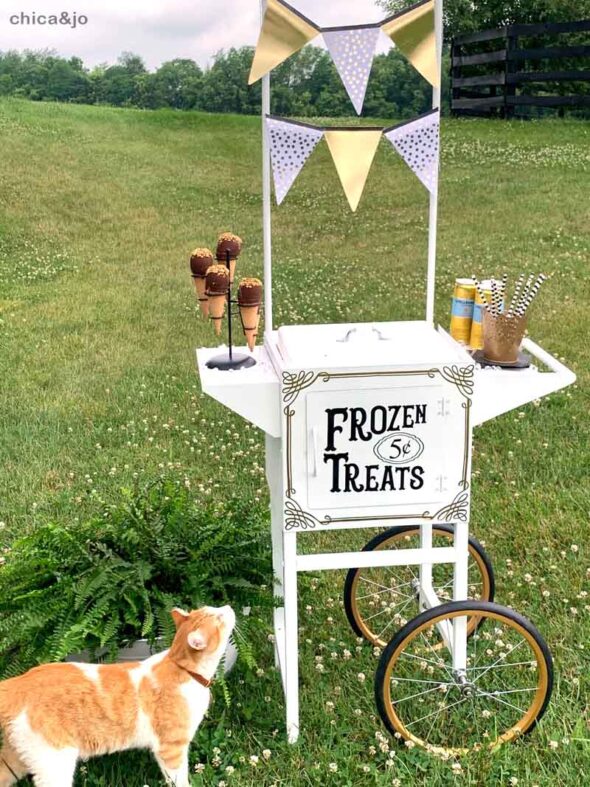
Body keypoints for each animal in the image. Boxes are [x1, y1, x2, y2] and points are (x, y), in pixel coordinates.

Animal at [0, 608, 235, 787]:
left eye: (213, 608)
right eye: (219, 617)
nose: (228, 606)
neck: (181, 667)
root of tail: (20, 681)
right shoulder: (170, 747)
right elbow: (180, 780)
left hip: (17, 759)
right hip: (55, 762)